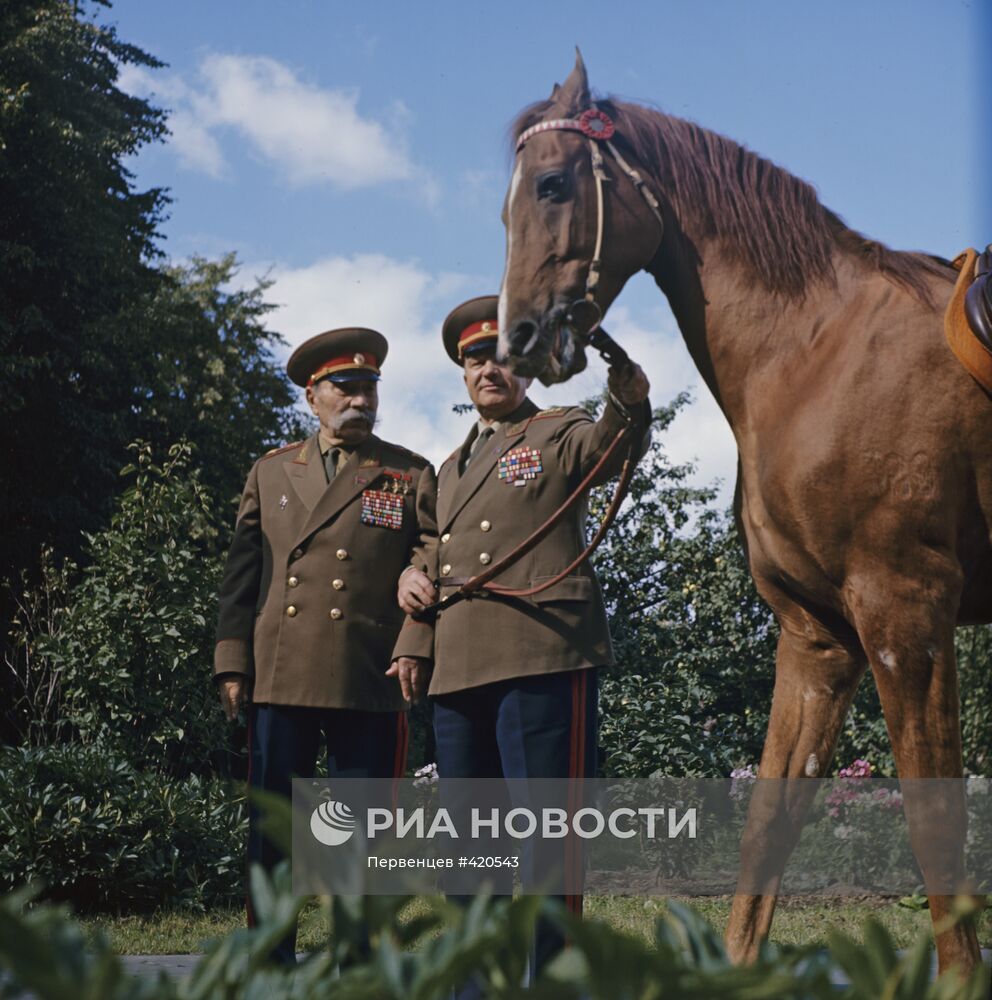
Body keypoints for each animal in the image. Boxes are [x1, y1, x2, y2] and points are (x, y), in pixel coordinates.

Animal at [500, 52, 988, 976]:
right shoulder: (818, 635)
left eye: (551, 184)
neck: (815, 351)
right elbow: (768, 828)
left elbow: (936, 825)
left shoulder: (907, 614)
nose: (518, 339)